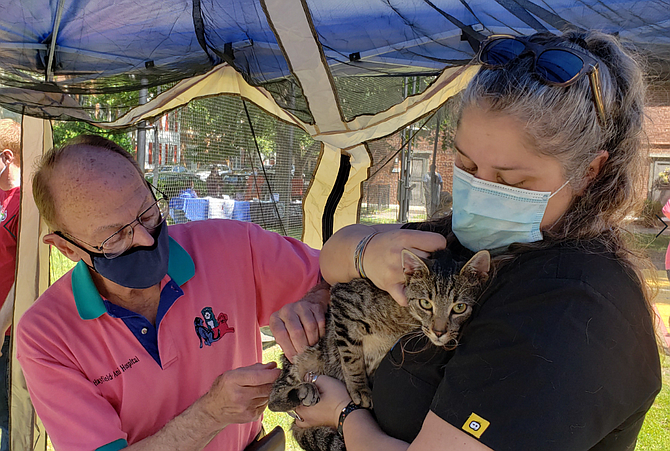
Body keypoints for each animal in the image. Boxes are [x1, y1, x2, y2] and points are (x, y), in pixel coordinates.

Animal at [268, 247, 494, 451]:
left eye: (459, 307)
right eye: (425, 303)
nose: (439, 331)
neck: (403, 318)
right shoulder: (343, 300)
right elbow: (350, 357)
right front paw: (359, 388)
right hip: (303, 357)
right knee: (273, 396)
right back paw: (299, 391)